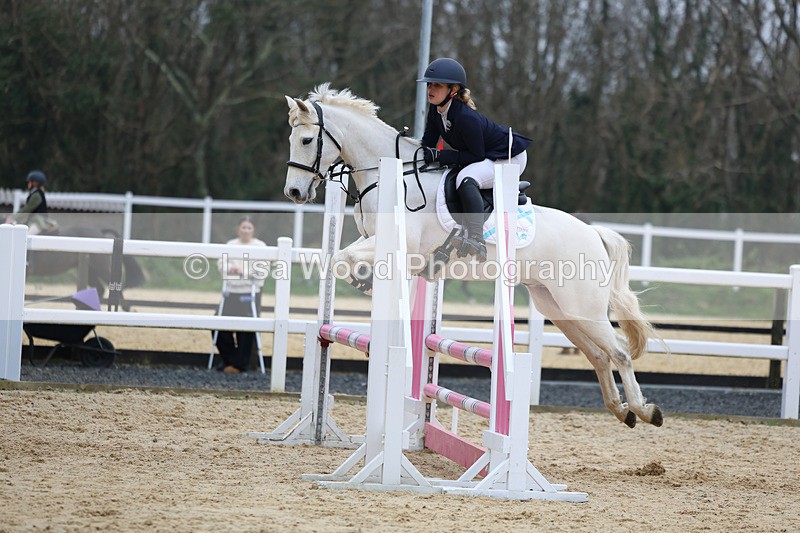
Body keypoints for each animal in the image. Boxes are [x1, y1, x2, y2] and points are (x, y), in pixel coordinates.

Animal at [282, 84, 663, 428]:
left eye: (306, 141)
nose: (294, 192)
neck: (388, 175)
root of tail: (593, 233)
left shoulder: (399, 244)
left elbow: (342, 258)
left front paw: (365, 284)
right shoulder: (377, 242)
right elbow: (341, 259)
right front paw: (364, 283)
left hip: (582, 306)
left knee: (619, 352)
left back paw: (645, 410)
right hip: (558, 307)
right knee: (598, 355)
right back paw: (623, 411)